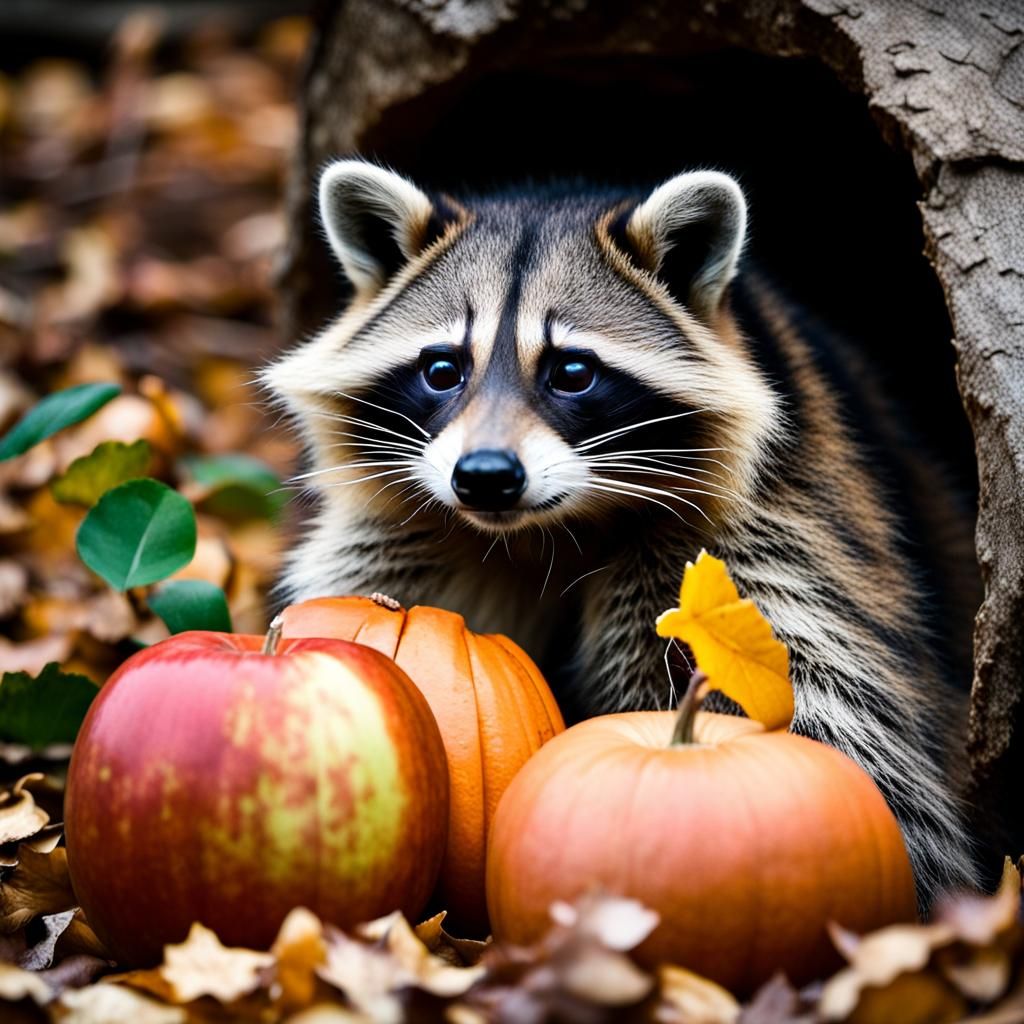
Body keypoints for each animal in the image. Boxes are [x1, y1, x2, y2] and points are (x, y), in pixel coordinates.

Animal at [264, 160, 982, 902]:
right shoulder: (414, 540)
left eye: (572, 372)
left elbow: (828, 706)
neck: (545, 532)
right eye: (442, 369)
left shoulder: (761, 542)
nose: (485, 476)